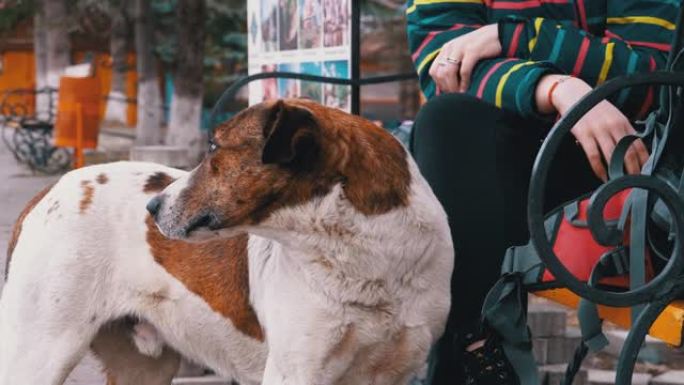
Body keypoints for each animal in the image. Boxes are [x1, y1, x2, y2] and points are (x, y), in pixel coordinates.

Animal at [0, 100, 454, 384]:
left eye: (215, 146)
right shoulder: (296, 371)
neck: (365, 257)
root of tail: (49, 191)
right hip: (38, 352)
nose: (152, 206)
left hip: (142, 368)